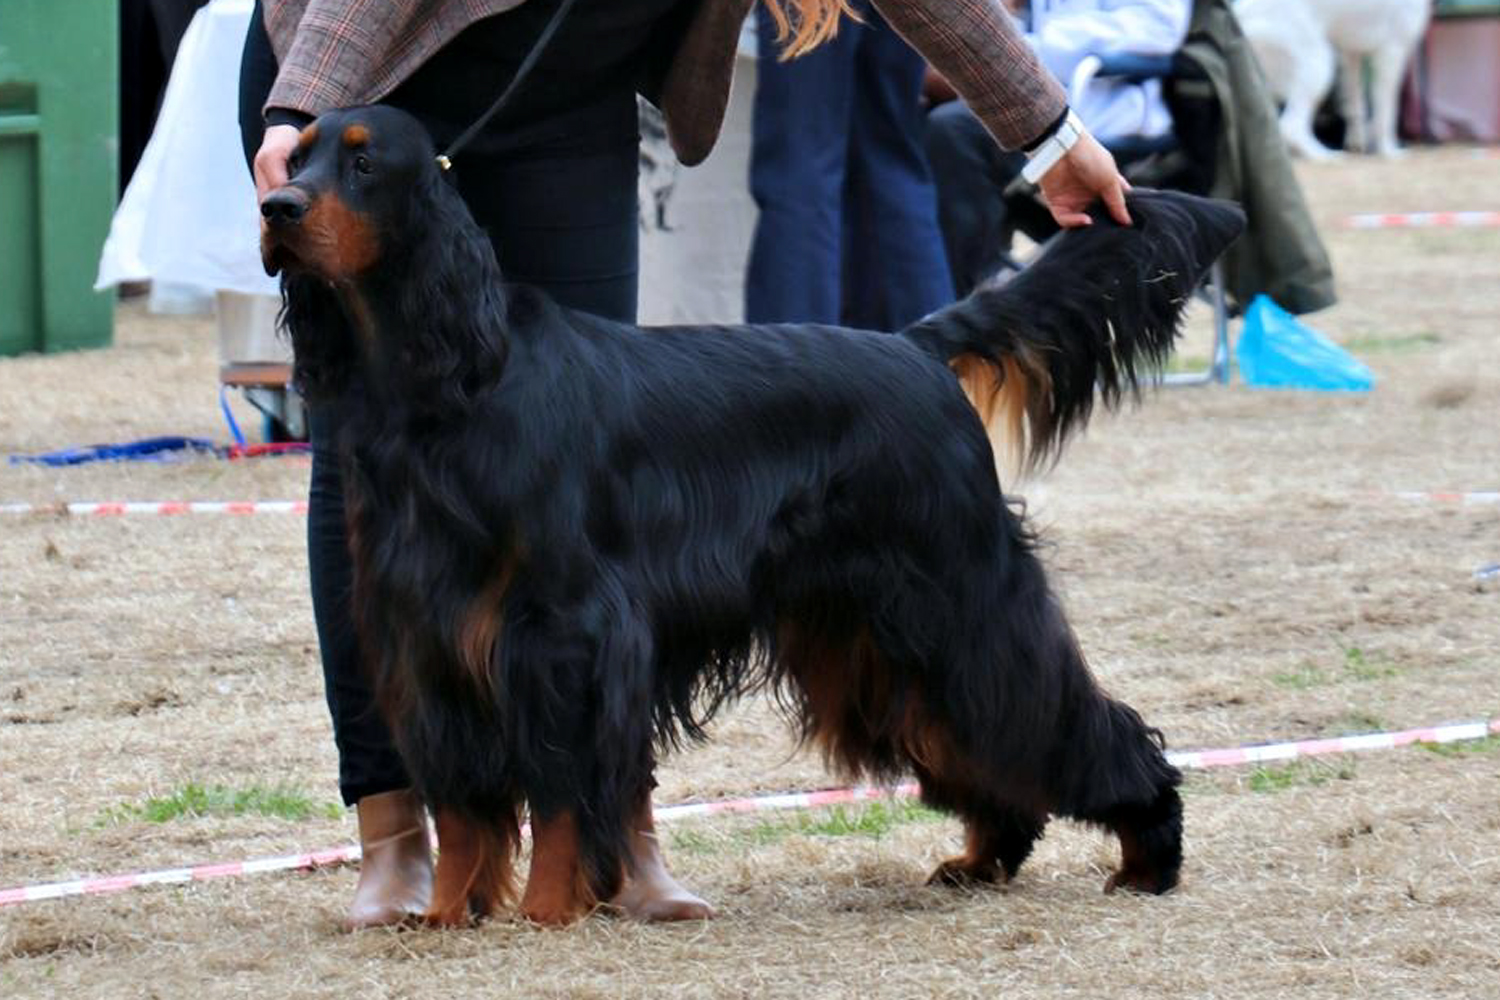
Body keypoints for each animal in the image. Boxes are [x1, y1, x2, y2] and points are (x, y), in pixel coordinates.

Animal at [260, 105, 1245, 928]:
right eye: (296, 155)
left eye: (364, 164)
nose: (275, 206)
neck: (449, 385)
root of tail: (915, 347)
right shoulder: (428, 634)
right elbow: (464, 809)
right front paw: (441, 918)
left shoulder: (564, 633)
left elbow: (564, 791)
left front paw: (546, 914)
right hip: (875, 636)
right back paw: (985, 856)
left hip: (956, 598)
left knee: (1056, 715)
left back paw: (1148, 852)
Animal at [1236, 0, 1431, 159]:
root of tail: (1241, 14)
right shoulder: (1390, 54)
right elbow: (1386, 112)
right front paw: (1388, 151)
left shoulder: (1351, 55)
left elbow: (1356, 107)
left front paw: (1357, 145)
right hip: (1320, 64)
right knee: (1290, 126)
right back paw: (1323, 156)